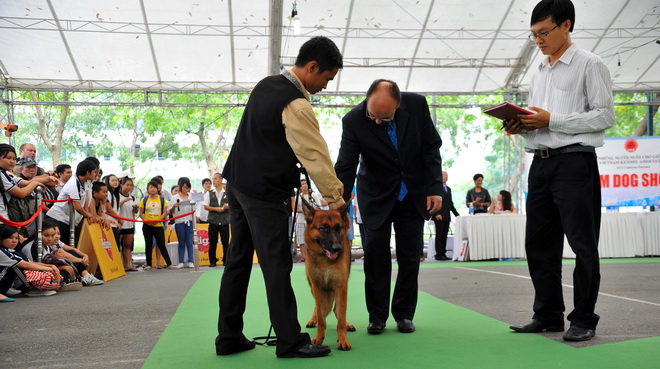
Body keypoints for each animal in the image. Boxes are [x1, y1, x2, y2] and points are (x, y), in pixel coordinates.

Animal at [302, 197, 356, 350]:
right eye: (324, 228)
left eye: (338, 228)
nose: (337, 248)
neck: (324, 260)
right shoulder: (317, 287)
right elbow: (321, 317)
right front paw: (319, 339)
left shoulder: (341, 287)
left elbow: (341, 316)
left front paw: (343, 339)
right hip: (314, 288)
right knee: (319, 307)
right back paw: (312, 319)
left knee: (337, 310)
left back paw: (347, 325)